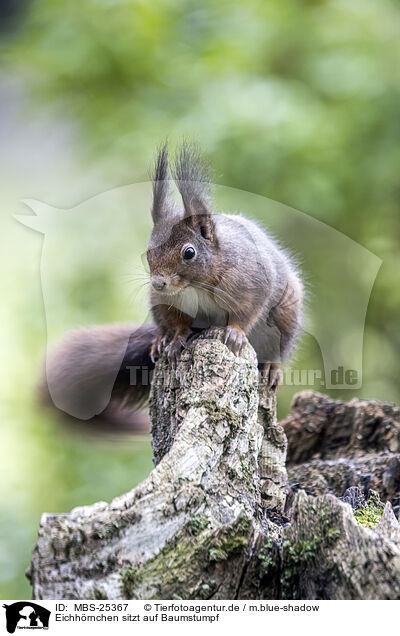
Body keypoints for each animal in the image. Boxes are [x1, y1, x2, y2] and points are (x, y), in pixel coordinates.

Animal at [41, 142, 304, 424]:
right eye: (148, 252)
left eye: (189, 252)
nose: (158, 283)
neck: (196, 285)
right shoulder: (165, 301)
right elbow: (177, 319)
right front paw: (177, 338)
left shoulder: (253, 283)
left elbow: (246, 312)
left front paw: (235, 332)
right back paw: (161, 340)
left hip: (285, 316)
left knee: (276, 348)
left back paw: (271, 367)